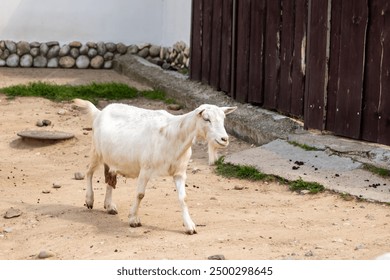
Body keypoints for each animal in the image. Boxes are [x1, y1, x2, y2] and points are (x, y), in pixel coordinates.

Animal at [74, 99, 236, 234]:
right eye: (206, 119)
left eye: (223, 119)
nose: (224, 139)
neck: (174, 136)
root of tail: (99, 112)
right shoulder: (145, 168)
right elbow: (140, 194)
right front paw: (133, 219)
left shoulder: (180, 172)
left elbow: (183, 198)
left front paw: (189, 226)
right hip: (96, 151)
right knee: (89, 172)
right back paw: (89, 200)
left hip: (113, 158)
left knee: (110, 177)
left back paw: (109, 206)